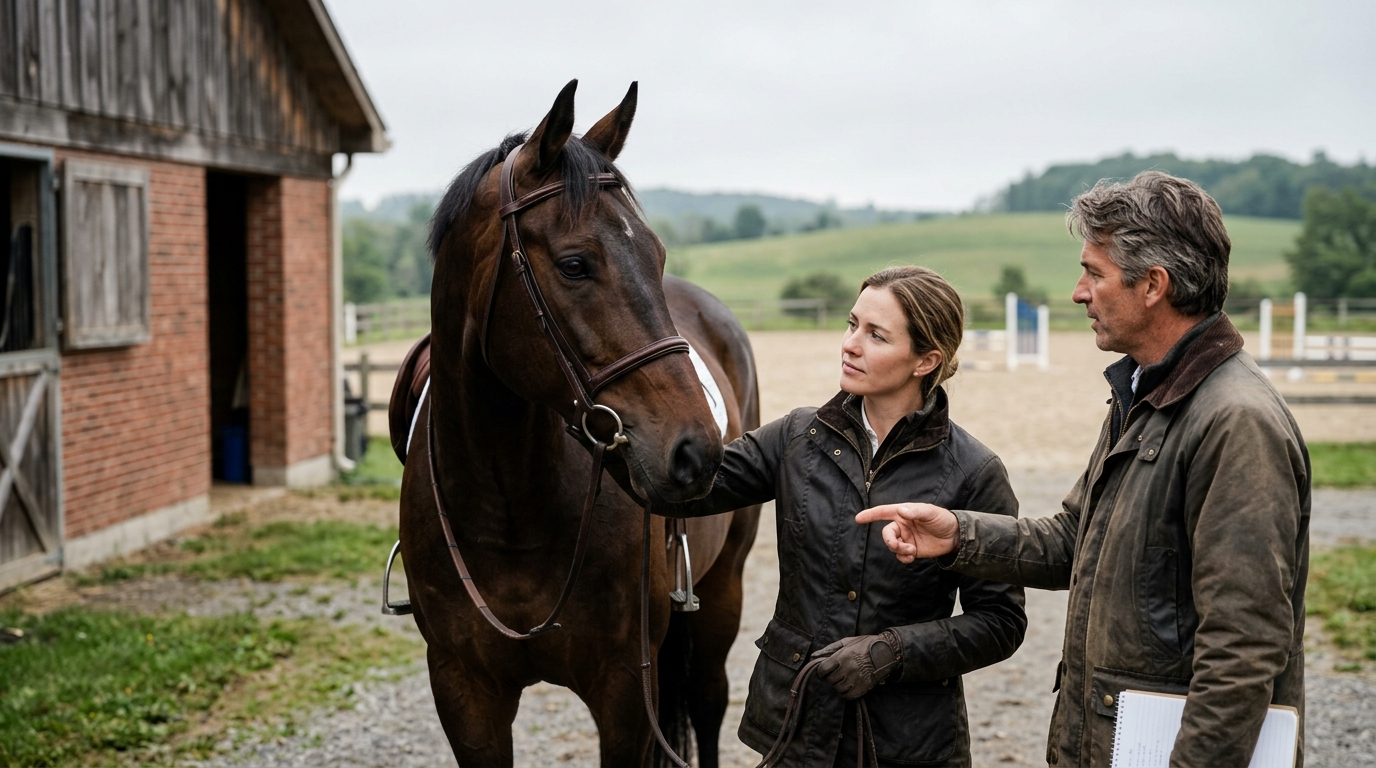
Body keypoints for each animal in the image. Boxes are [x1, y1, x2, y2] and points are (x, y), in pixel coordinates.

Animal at [395, 80, 761, 767]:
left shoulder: (623, 692)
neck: (509, 505)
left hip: (723, 587)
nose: (695, 451)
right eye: (573, 264)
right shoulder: (464, 691)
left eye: (656, 254)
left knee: (707, 704)